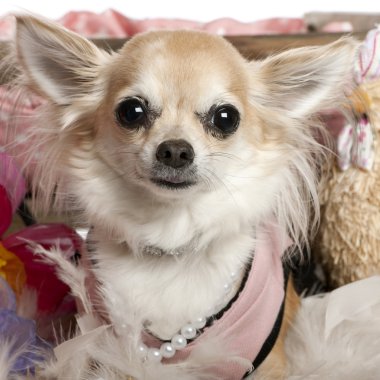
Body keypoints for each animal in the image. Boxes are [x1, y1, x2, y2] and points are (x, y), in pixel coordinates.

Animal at [5, 15, 356, 380]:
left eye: (226, 117)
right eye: (131, 111)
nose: (174, 150)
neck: (172, 239)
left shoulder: (269, 362)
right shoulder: (94, 338)